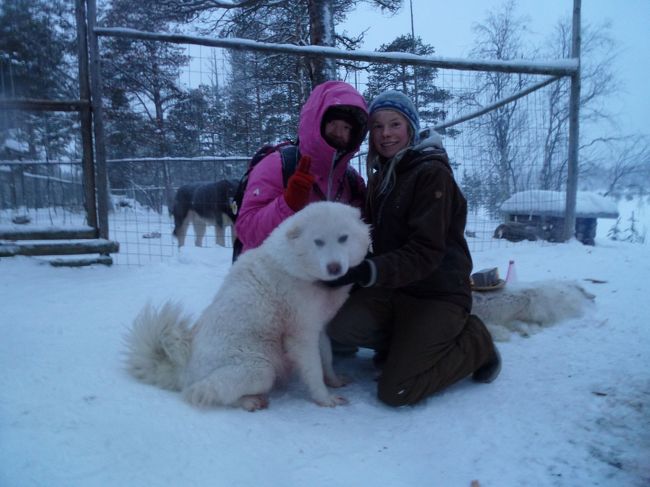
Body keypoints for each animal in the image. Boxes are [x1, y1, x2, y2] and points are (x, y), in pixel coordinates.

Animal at [124, 202, 372, 412]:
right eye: (318, 242)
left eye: (343, 238)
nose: (334, 267)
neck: (298, 268)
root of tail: (184, 371)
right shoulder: (301, 337)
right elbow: (314, 371)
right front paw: (324, 399)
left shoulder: (319, 327)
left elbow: (327, 358)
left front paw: (334, 381)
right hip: (262, 369)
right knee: (203, 392)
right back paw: (250, 401)